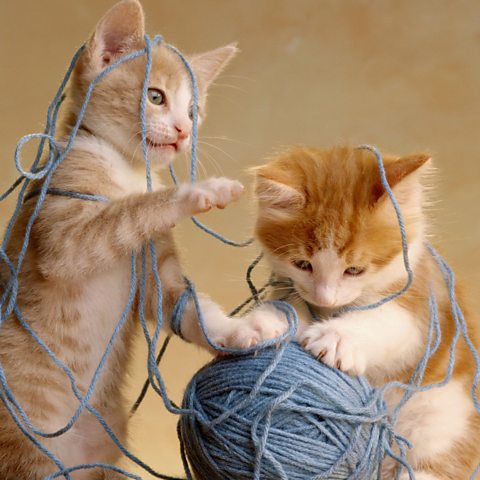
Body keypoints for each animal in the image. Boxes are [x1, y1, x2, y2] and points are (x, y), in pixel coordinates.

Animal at [0, 0, 274, 480]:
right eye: (156, 97)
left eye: (193, 111)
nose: (183, 131)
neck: (125, 170)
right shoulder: (61, 233)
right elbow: (129, 211)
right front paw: (202, 190)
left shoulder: (155, 270)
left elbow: (188, 306)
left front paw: (239, 330)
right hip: (27, 440)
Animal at [251, 146, 480, 480]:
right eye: (302, 264)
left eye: (355, 270)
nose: (325, 296)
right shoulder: (290, 283)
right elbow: (288, 300)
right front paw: (266, 324)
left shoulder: (421, 307)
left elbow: (386, 322)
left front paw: (334, 338)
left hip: (446, 422)